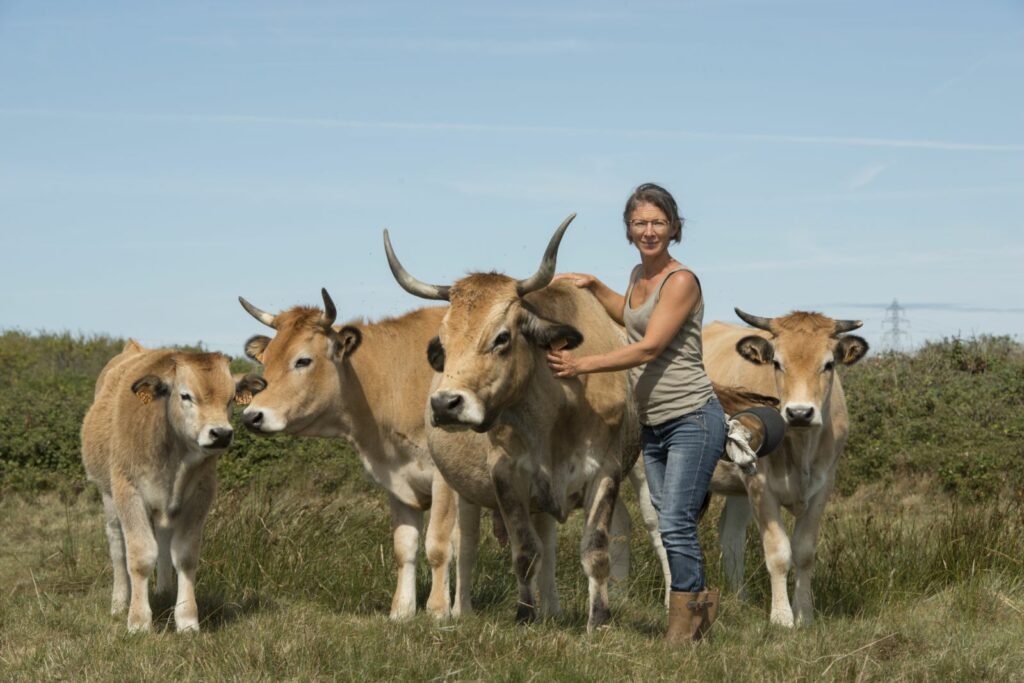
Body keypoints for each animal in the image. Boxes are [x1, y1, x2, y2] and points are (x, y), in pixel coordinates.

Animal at [82, 339, 262, 634]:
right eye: (186, 396)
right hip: (108, 496)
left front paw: (187, 619)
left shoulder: (200, 496)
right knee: (117, 546)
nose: (221, 433)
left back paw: (165, 592)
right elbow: (140, 556)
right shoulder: (128, 492)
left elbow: (185, 555)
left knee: (164, 540)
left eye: (231, 398)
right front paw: (138, 621)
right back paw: (119, 602)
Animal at [234, 288, 468, 618]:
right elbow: (404, 547)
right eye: (265, 361)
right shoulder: (397, 479)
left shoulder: (443, 479)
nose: (251, 416)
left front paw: (437, 610)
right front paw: (402, 611)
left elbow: (438, 544)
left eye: (303, 360)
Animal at [708, 313, 868, 626]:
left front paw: (804, 614)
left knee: (730, 535)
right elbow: (778, 552)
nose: (800, 413)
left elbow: (804, 551)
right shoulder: (760, 486)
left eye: (828, 364)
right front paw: (782, 617)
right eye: (777, 362)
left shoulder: (823, 487)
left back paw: (740, 599)